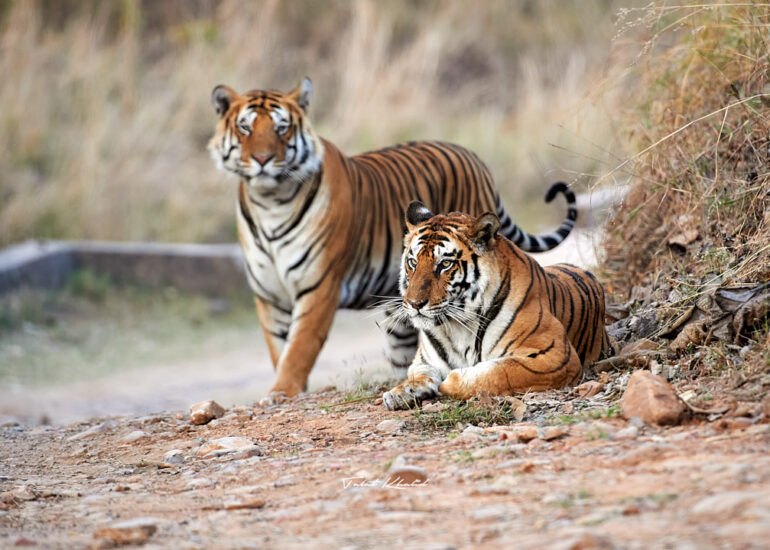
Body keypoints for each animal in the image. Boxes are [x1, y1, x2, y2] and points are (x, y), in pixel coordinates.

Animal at [208, 77, 579, 399]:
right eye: (245, 128)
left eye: (281, 127)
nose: (262, 160)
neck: (270, 202)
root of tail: (472, 155)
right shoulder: (268, 293)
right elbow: (279, 349)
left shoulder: (318, 286)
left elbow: (299, 348)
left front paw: (281, 393)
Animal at [382, 201, 609, 410]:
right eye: (413, 262)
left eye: (445, 264)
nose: (414, 303)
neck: (457, 327)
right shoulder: (423, 361)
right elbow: (417, 375)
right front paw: (398, 393)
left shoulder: (554, 355)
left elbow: (497, 372)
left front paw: (450, 381)